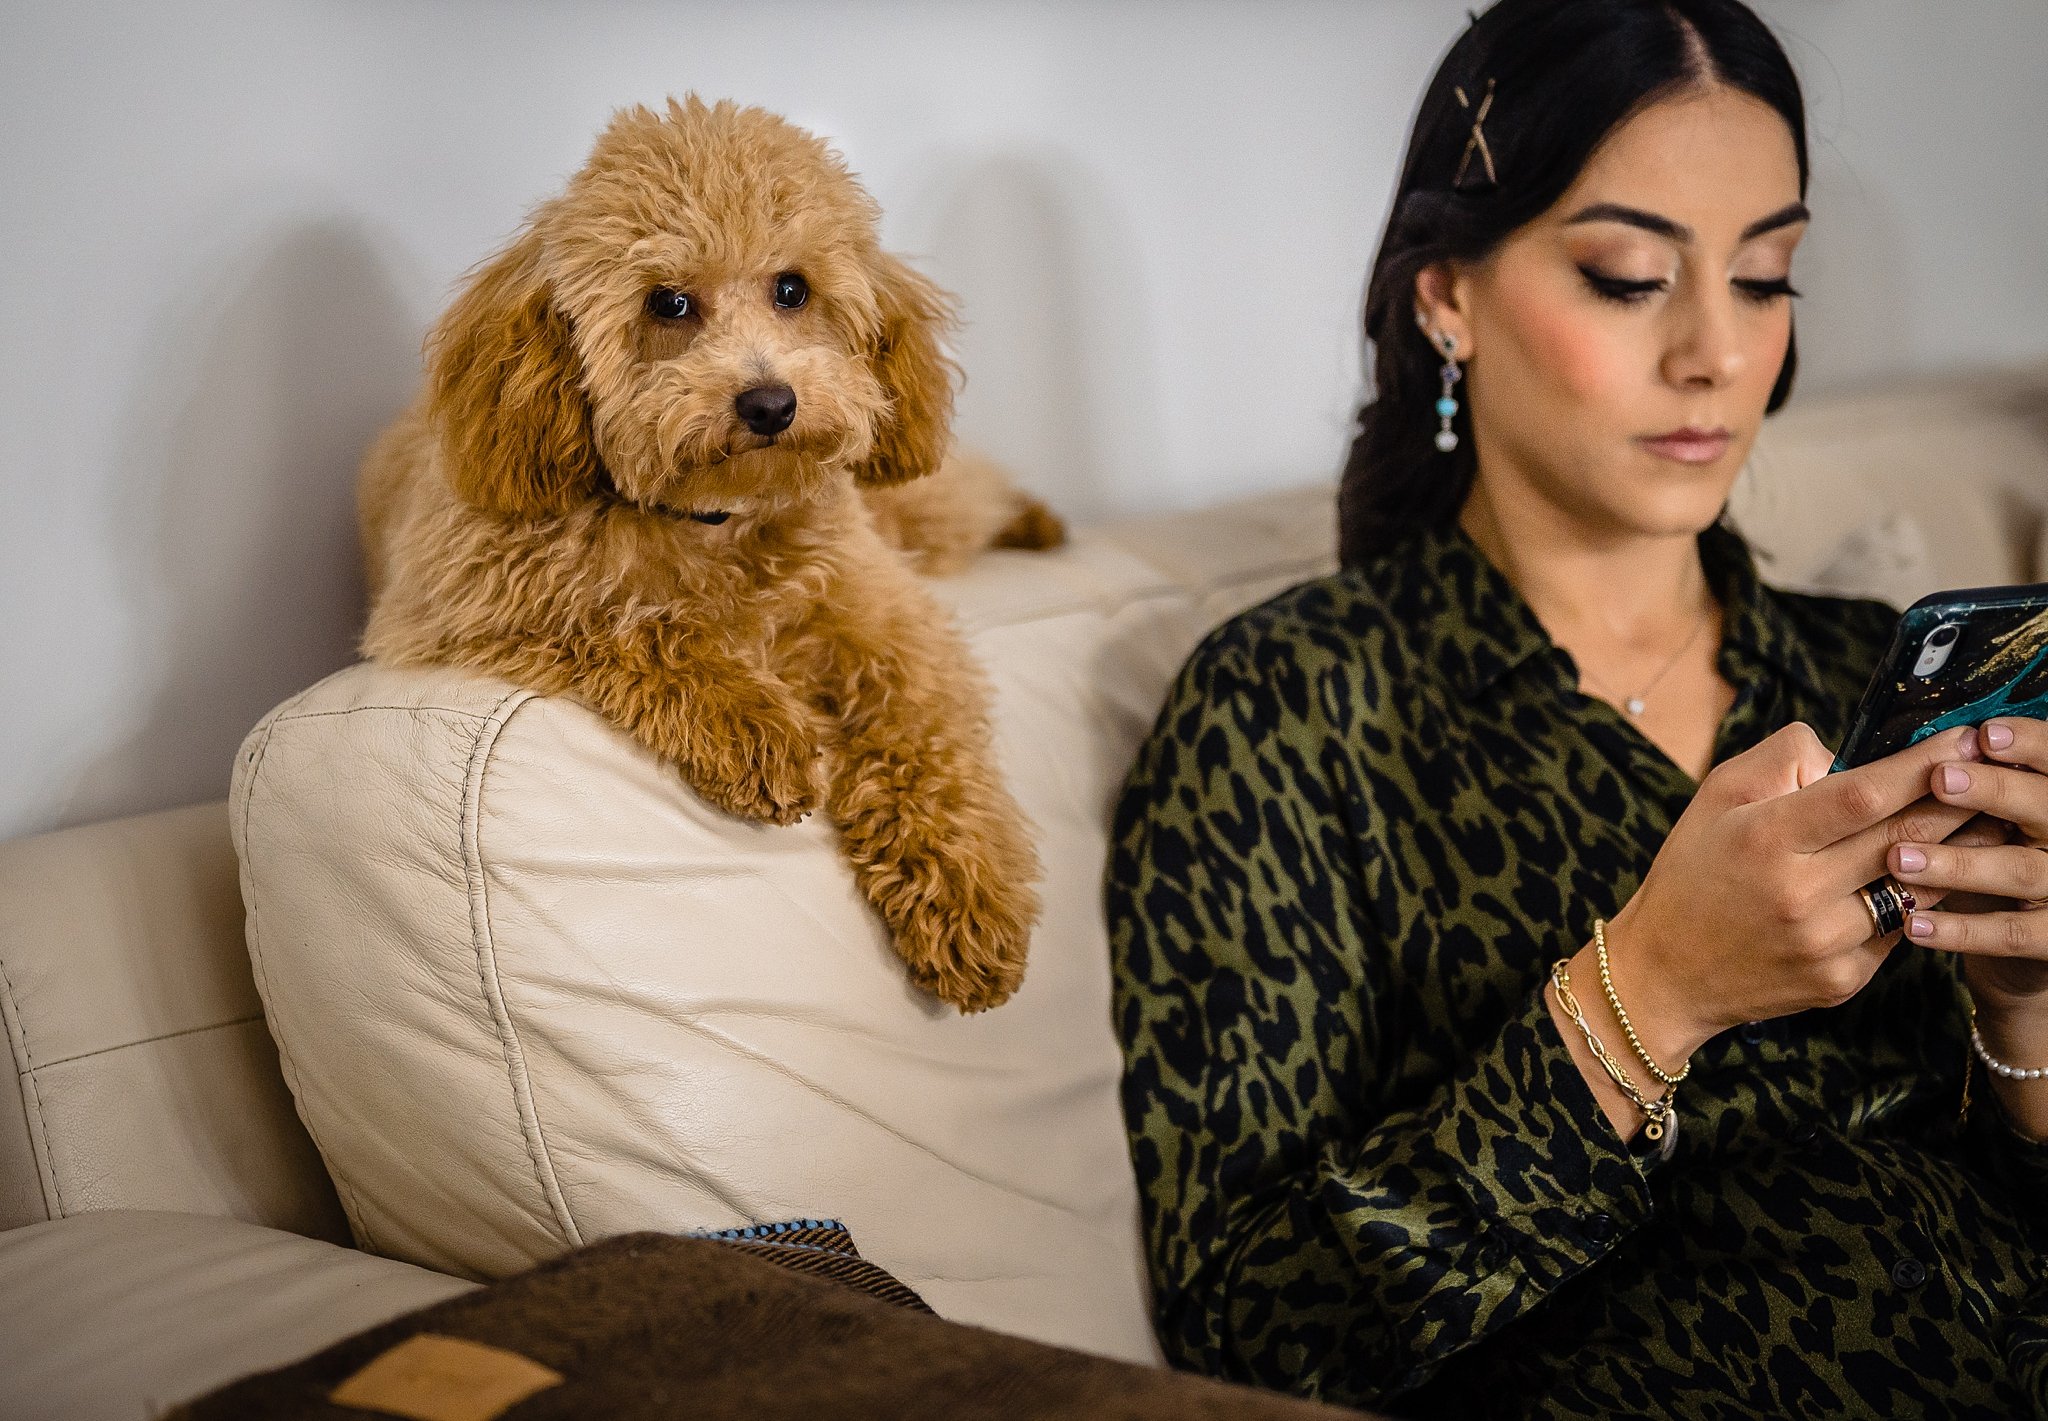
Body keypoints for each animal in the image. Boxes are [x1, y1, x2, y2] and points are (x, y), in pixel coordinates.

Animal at [356, 97, 1056, 1011]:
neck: (716, 521)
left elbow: (928, 741)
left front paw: (970, 897)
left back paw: (1036, 520)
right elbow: (639, 622)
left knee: (970, 497)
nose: (769, 402)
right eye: (670, 303)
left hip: (916, 513)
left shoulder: (891, 624)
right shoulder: (468, 606)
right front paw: (761, 729)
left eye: (792, 288)